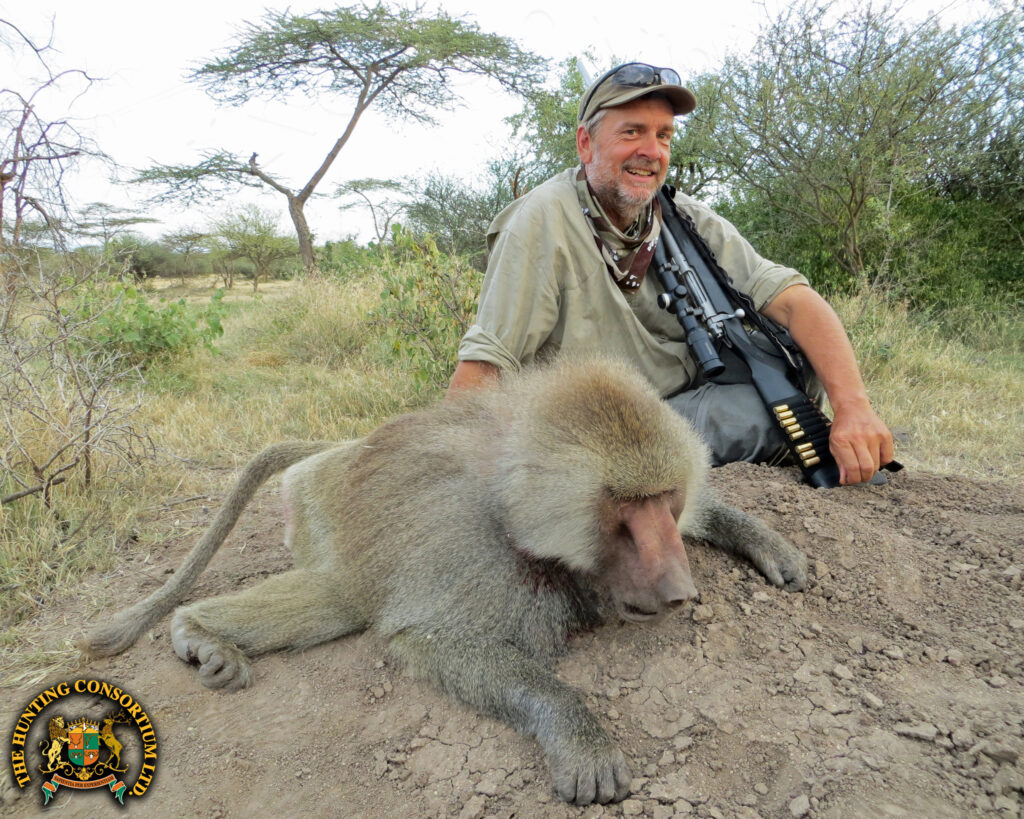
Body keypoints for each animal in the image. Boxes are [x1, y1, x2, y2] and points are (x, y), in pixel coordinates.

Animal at [81, 356, 807, 805]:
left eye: (664, 501)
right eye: (627, 512)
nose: (681, 591)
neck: (515, 495)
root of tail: (333, 454)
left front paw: (767, 542)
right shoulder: (471, 552)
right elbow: (430, 641)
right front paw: (580, 734)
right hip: (319, 516)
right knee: (338, 598)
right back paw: (196, 631)